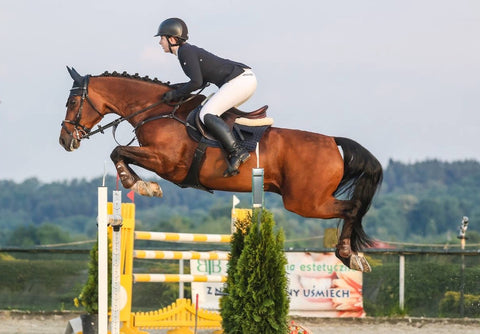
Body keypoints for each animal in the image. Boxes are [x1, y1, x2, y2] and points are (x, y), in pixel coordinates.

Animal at [59, 67, 382, 272]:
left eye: (73, 101)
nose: (64, 140)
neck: (156, 111)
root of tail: (332, 141)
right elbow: (121, 153)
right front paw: (142, 184)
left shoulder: (166, 163)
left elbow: (118, 152)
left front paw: (138, 184)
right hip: (308, 200)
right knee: (352, 208)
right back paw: (353, 256)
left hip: (305, 202)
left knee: (352, 208)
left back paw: (349, 255)